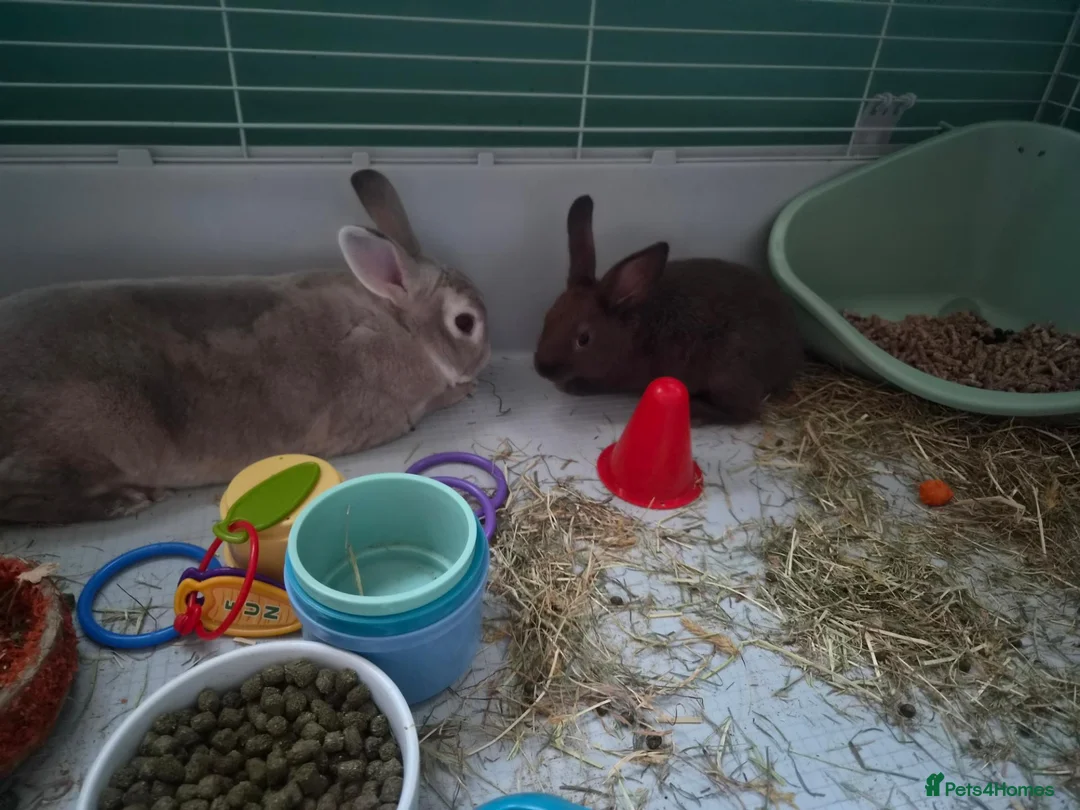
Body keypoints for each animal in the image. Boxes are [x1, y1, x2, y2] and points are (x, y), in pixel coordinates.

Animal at [0, 169, 490, 525]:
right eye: (465, 323)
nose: (485, 359)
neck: (400, 325)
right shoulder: (392, 416)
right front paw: (464, 388)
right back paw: (126, 500)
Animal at [534, 194, 802, 424]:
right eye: (548, 317)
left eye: (584, 339)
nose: (542, 369)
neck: (627, 335)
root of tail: (792, 356)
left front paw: (570, 387)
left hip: (728, 374)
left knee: (745, 412)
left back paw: (696, 411)